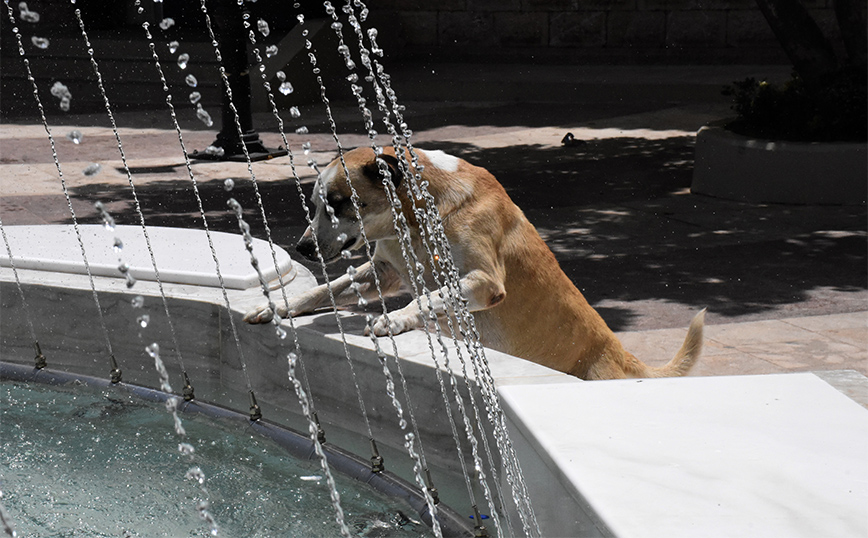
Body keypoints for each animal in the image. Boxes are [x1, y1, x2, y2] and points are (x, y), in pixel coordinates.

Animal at [244, 144, 704, 378]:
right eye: (317, 203)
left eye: (338, 203)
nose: (302, 247)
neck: (420, 213)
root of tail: (623, 356)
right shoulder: (384, 270)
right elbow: (323, 289)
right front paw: (278, 305)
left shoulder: (484, 282)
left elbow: (428, 298)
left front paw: (394, 320)